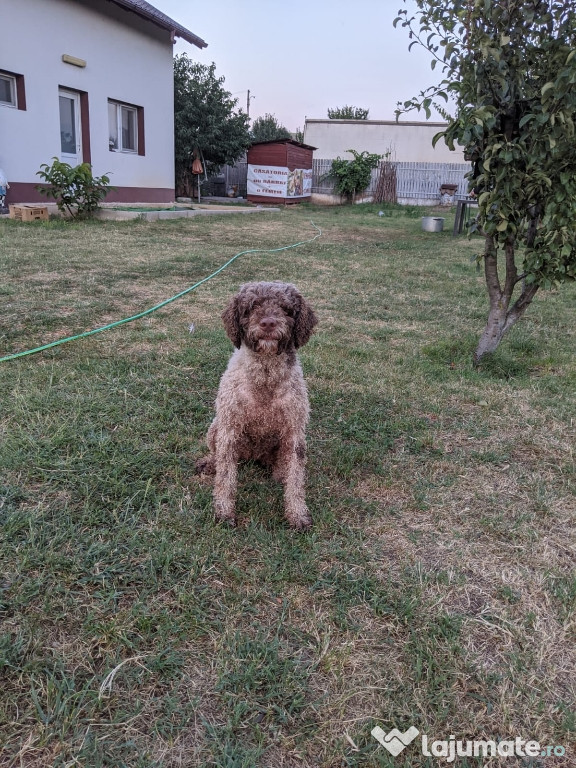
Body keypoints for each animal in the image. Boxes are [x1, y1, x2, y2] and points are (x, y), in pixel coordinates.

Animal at [196, 280, 318, 528]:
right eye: (251, 307)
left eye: (286, 308)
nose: (268, 323)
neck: (265, 376)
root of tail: (253, 456)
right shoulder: (229, 429)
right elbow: (225, 477)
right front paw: (224, 511)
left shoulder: (295, 432)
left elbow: (296, 478)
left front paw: (297, 513)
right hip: (215, 428)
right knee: (219, 457)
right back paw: (210, 463)